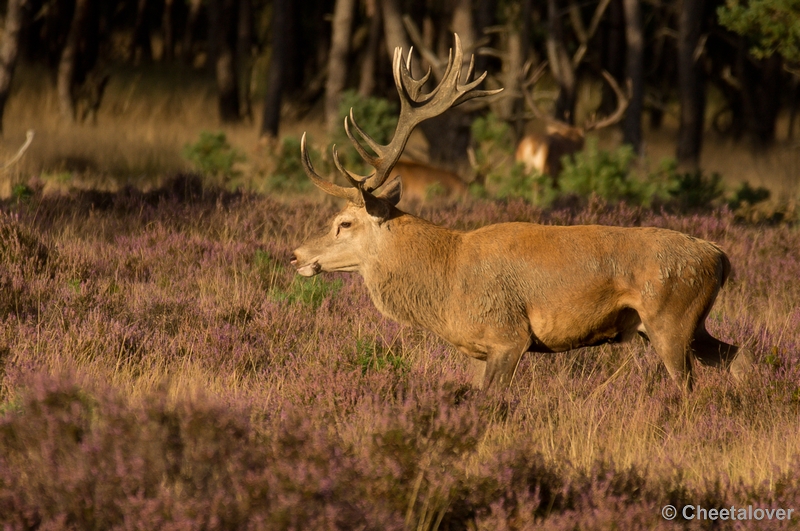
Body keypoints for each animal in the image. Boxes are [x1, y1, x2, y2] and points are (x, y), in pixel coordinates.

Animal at [290, 33, 752, 390]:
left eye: (344, 223)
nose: (295, 255)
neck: (445, 283)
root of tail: (720, 257)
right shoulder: (478, 349)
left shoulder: (508, 335)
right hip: (691, 326)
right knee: (736, 354)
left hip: (670, 319)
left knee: (688, 383)